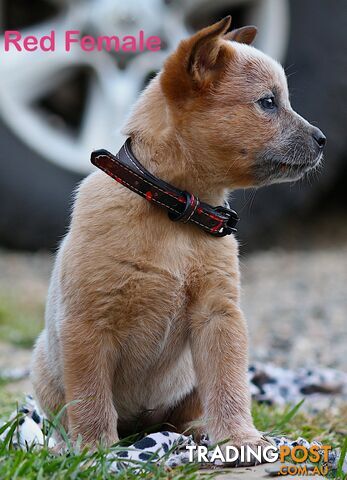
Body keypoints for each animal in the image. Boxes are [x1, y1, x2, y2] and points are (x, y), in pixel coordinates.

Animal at [30, 16, 326, 456]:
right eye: (268, 102)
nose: (323, 140)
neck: (176, 210)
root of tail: (139, 425)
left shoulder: (218, 316)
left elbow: (229, 385)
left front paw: (239, 438)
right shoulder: (88, 322)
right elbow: (90, 395)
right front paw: (96, 448)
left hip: (187, 383)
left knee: (181, 416)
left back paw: (197, 433)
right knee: (67, 416)